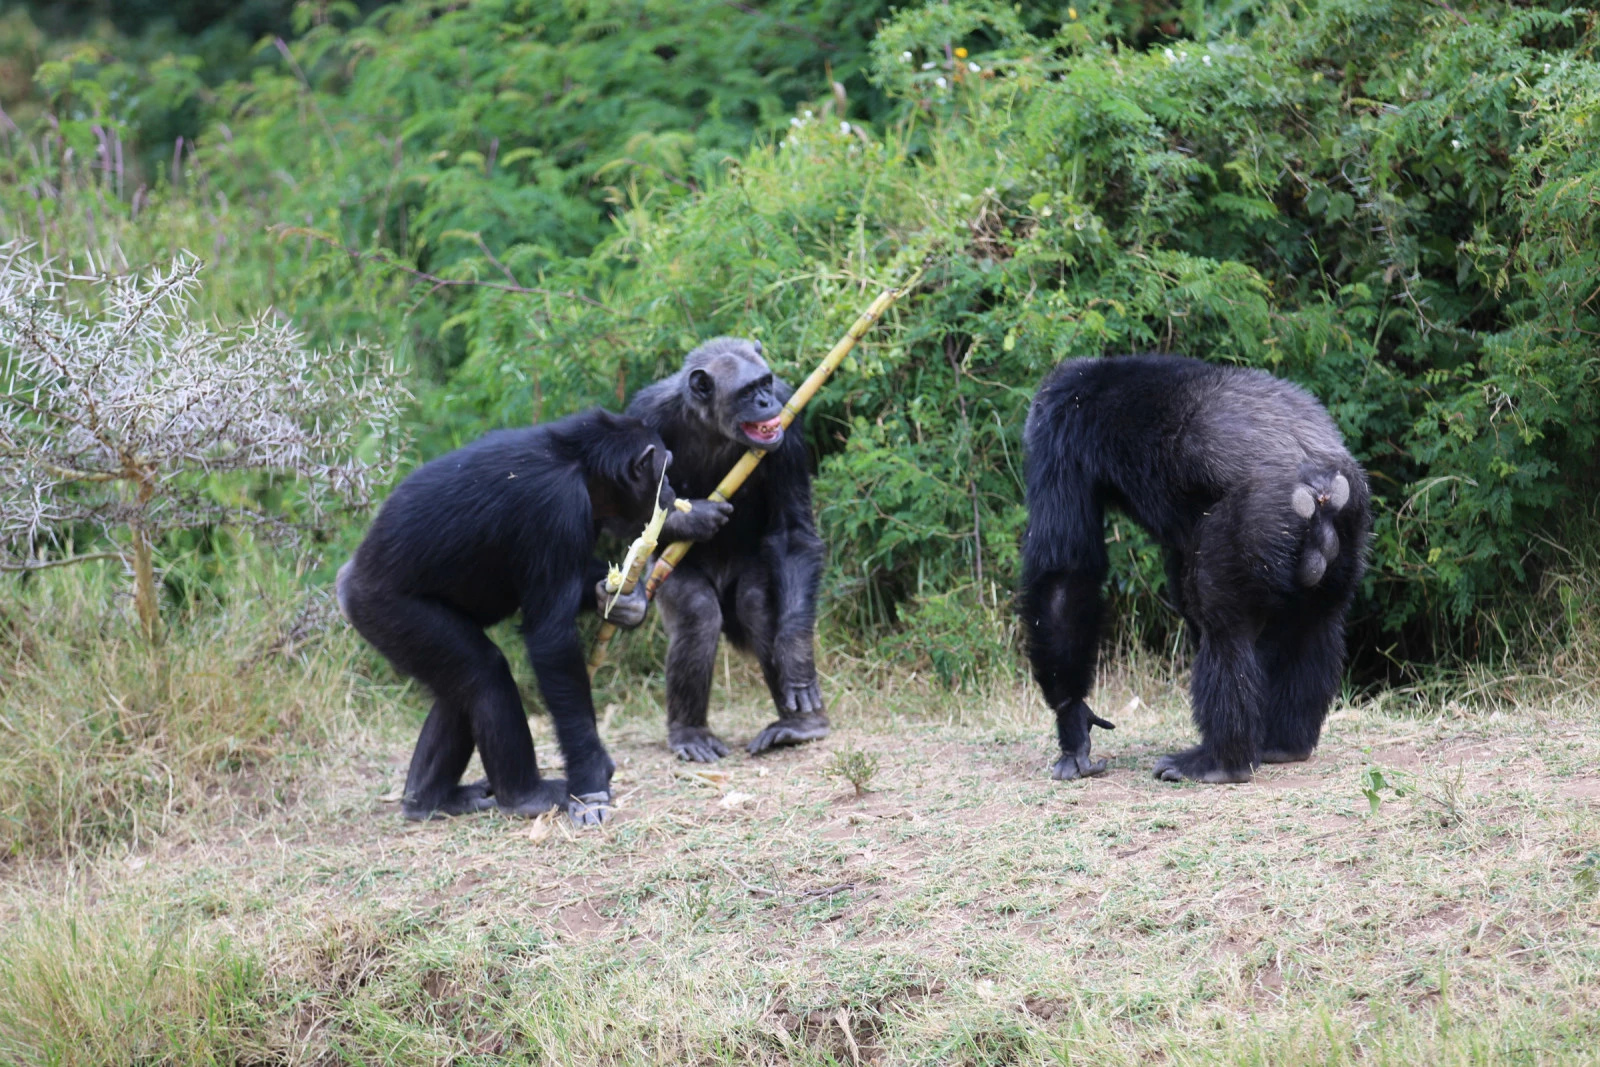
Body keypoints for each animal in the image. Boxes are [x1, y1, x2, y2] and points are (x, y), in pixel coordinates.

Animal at [336, 404, 668, 825]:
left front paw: (627, 601)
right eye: (665, 468)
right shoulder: (558, 508)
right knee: (485, 674)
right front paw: (591, 781)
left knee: (459, 686)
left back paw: (428, 799)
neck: (582, 464)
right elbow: (551, 639)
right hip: (387, 613)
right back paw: (525, 795)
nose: (672, 492)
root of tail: (346, 584)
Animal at [624, 337, 832, 764]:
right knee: (698, 614)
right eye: (747, 392)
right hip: (666, 572)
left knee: (757, 605)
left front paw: (796, 658)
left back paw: (801, 727)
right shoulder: (643, 416)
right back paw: (691, 733)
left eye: (766, 383)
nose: (766, 401)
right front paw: (695, 519)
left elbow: (792, 533)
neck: (710, 423)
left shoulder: (790, 420)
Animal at [1017, 355, 1369, 780]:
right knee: (1313, 624)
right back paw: (1285, 743)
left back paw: (1220, 761)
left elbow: (1064, 573)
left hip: (1260, 515)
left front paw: (1072, 720)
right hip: (1350, 524)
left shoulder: (1055, 431)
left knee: (1223, 623)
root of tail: (1322, 486)